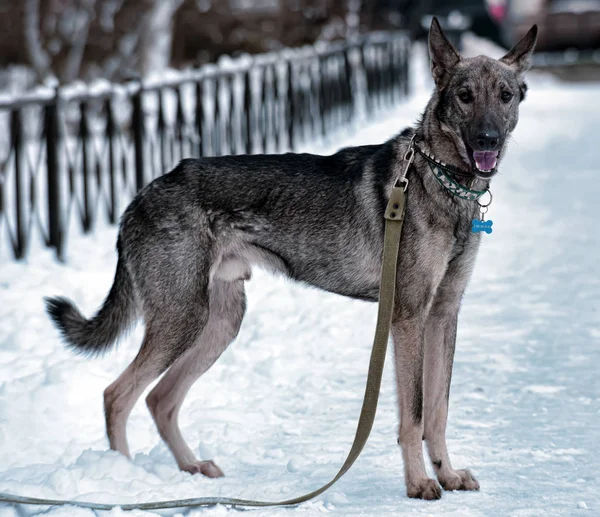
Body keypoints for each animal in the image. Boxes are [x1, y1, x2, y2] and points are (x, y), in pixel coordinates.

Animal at [44, 20, 536, 500]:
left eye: (505, 96)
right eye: (464, 95)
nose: (488, 139)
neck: (439, 176)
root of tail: (140, 196)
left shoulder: (444, 314)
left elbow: (438, 410)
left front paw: (447, 474)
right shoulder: (410, 316)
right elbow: (413, 413)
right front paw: (418, 483)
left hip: (219, 322)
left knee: (159, 399)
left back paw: (192, 469)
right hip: (183, 318)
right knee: (117, 395)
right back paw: (120, 481)